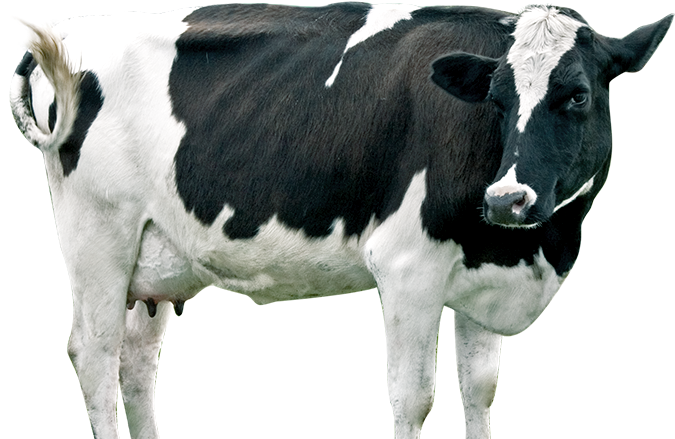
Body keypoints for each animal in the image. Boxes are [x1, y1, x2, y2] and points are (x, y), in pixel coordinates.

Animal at [4, 3, 672, 438]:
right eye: (497, 98)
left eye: (578, 94)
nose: (508, 199)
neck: (533, 252)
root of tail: (65, 34)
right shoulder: (407, 268)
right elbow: (414, 396)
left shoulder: (486, 281)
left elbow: (479, 391)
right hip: (98, 236)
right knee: (96, 355)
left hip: (156, 254)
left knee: (138, 364)